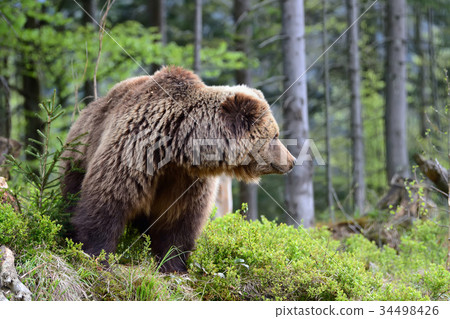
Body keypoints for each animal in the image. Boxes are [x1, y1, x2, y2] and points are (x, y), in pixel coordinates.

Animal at [62, 67, 296, 272]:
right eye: (275, 135)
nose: (292, 161)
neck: (176, 147)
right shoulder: (133, 153)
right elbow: (107, 202)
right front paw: (96, 255)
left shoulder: (186, 179)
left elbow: (179, 219)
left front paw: (172, 264)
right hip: (80, 153)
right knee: (71, 194)